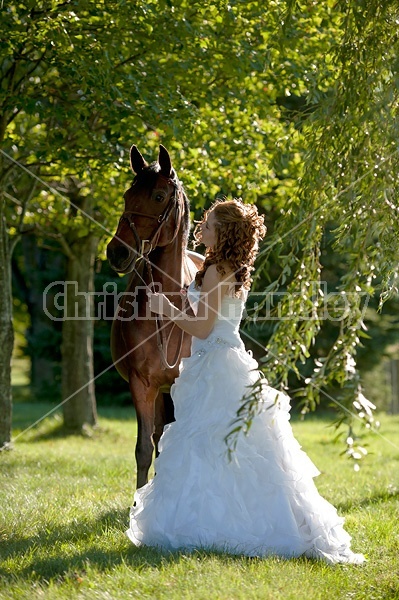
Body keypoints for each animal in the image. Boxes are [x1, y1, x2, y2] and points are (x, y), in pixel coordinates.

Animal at [106, 144, 203, 488]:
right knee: (160, 439)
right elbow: (144, 450)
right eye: (126, 195)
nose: (117, 252)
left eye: (159, 196)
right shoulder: (142, 384)